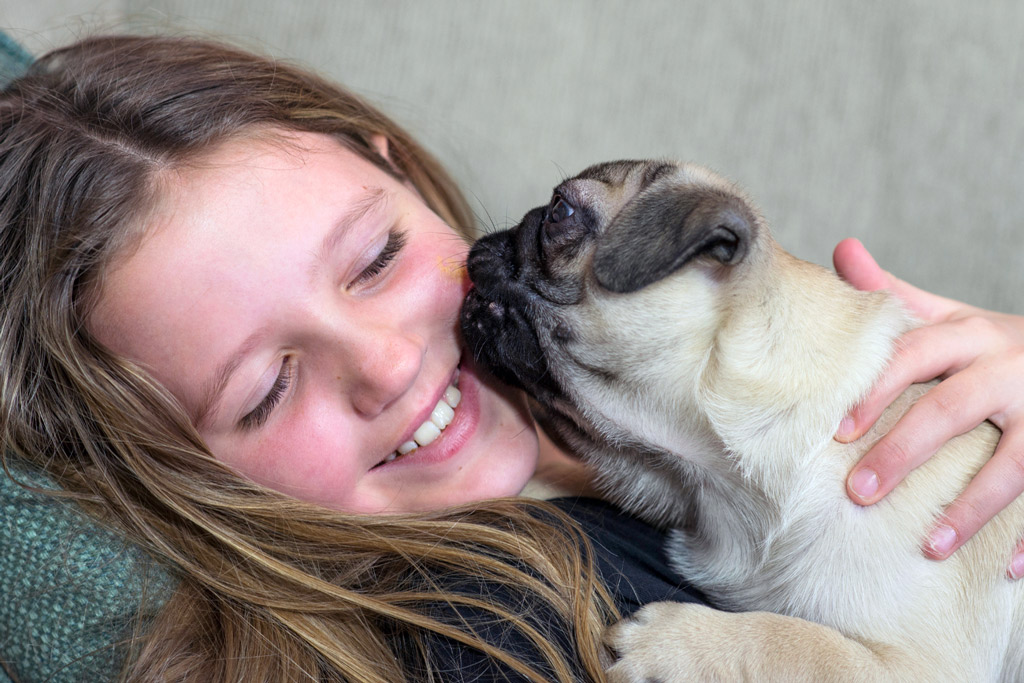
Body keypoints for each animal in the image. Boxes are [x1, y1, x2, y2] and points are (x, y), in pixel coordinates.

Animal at [460, 161, 1019, 683]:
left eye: (560, 212)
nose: (486, 243)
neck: (706, 478)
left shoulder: (924, 666)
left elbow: (794, 643)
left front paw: (670, 642)